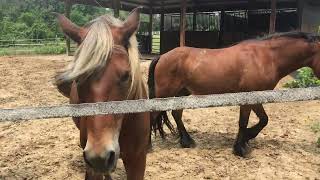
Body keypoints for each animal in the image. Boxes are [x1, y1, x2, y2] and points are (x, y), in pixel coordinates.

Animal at [149, 31, 320, 157]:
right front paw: (241, 147)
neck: (265, 57)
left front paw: (245, 139)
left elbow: (261, 120)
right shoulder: (250, 97)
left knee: (177, 114)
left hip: (182, 93)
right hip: (164, 94)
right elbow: (248, 122)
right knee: (152, 114)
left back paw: (187, 141)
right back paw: (149, 146)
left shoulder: (255, 98)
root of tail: (162, 56)